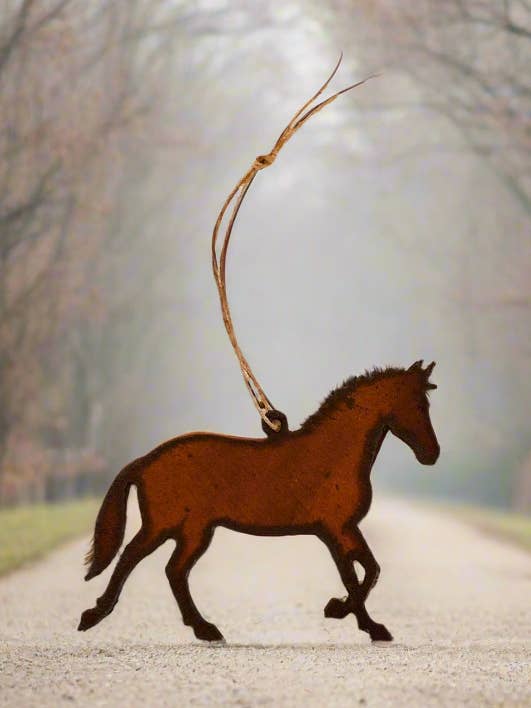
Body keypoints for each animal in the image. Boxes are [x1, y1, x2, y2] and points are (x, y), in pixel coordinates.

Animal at [78, 360, 439, 642]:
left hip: (192, 530)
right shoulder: (337, 528)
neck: (334, 452)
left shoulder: (344, 529)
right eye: (419, 405)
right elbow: (356, 575)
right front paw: (352, 617)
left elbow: (369, 570)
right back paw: (94, 615)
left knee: (173, 571)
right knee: (132, 557)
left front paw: (352, 616)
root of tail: (145, 461)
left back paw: (204, 629)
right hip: (167, 525)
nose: (431, 454)